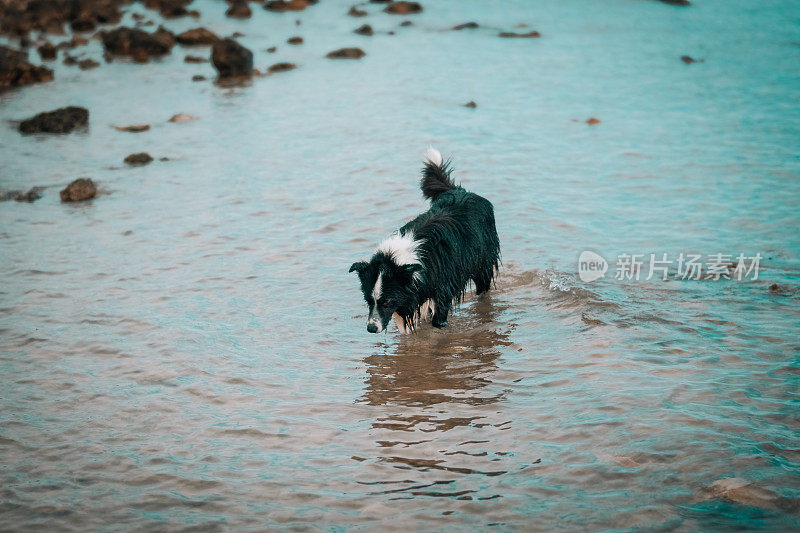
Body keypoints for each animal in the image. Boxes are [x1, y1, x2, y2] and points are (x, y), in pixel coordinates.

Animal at [350, 148, 500, 332]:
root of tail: (461, 191)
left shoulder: (442, 289)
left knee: (483, 287)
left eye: (387, 302)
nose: (371, 328)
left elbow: (437, 319)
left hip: (482, 262)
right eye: (368, 300)